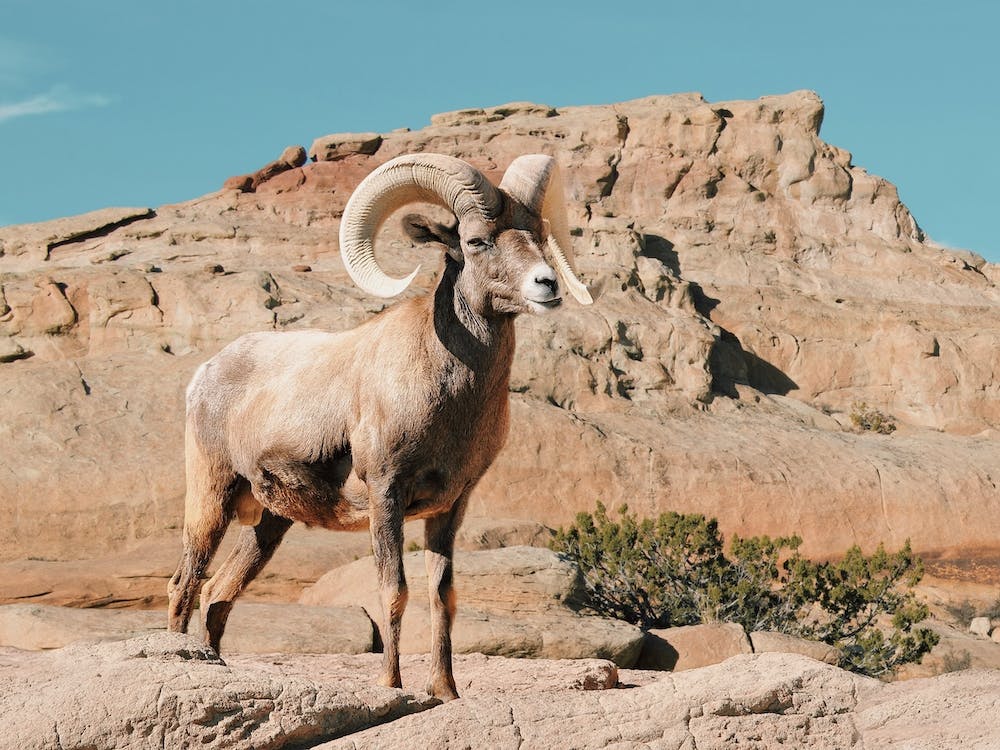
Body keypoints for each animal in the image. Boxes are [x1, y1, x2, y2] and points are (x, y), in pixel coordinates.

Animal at [166, 153, 593, 700]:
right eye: (477, 241)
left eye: (539, 235)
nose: (547, 285)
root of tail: (207, 372)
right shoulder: (386, 494)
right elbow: (393, 591)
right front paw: (391, 686)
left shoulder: (450, 508)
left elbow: (442, 597)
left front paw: (445, 691)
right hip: (212, 496)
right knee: (186, 584)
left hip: (269, 522)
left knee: (218, 593)